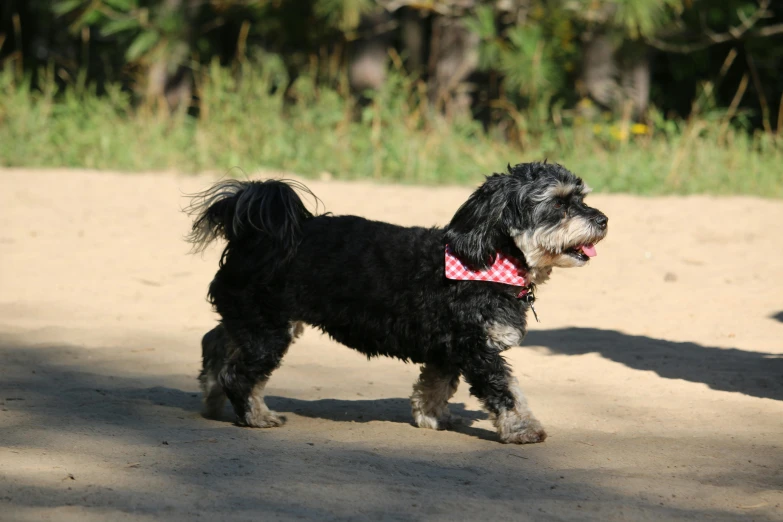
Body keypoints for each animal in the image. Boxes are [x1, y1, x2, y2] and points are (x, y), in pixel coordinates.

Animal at [187, 162, 608, 442]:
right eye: (559, 204)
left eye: (581, 198)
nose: (603, 219)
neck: (489, 259)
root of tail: (254, 234)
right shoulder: (476, 348)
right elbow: (506, 391)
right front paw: (524, 428)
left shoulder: (447, 347)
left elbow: (435, 385)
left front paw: (431, 417)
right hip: (268, 329)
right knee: (240, 374)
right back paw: (256, 415)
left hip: (252, 319)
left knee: (216, 343)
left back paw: (211, 395)